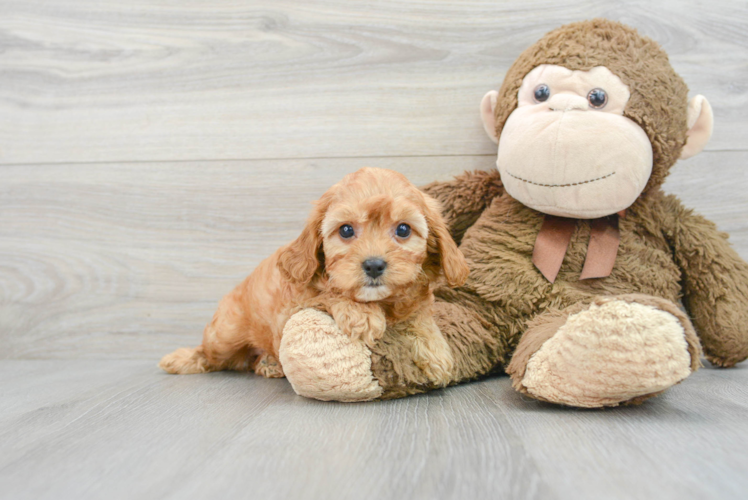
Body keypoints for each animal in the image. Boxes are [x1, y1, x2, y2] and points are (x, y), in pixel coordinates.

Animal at [159, 168, 468, 386]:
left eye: (403, 229)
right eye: (346, 230)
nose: (373, 265)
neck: (380, 301)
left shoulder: (415, 301)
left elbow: (419, 317)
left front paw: (437, 352)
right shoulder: (293, 305)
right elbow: (328, 292)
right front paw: (361, 315)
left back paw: (268, 363)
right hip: (225, 334)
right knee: (211, 353)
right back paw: (181, 358)